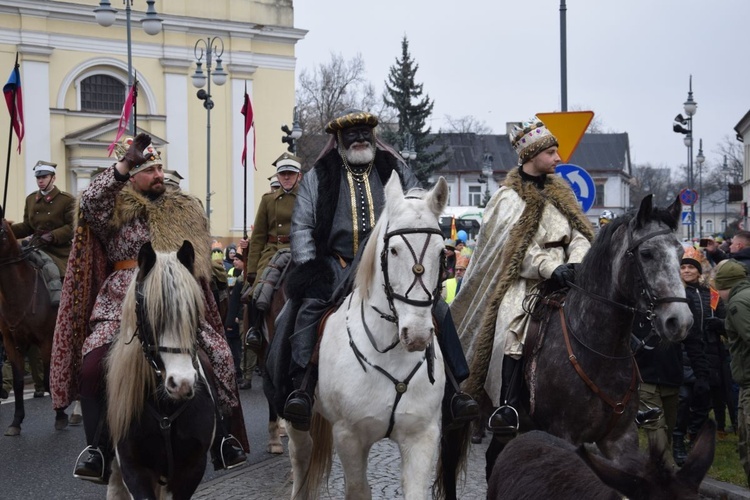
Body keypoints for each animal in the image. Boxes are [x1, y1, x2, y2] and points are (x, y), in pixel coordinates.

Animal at [0, 217, 68, 436]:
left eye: (1, 231)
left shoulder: (46, 340)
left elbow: (48, 379)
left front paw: (60, 415)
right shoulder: (12, 343)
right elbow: (19, 382)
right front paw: (16, 421)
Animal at [290, 173, 450, 500]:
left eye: (442, 252)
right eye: (394, 250)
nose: (416, 335)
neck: (391, 355)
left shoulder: (422, 436)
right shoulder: (349, 437)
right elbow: (358, 490)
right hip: (295, 421)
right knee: (301, 456)